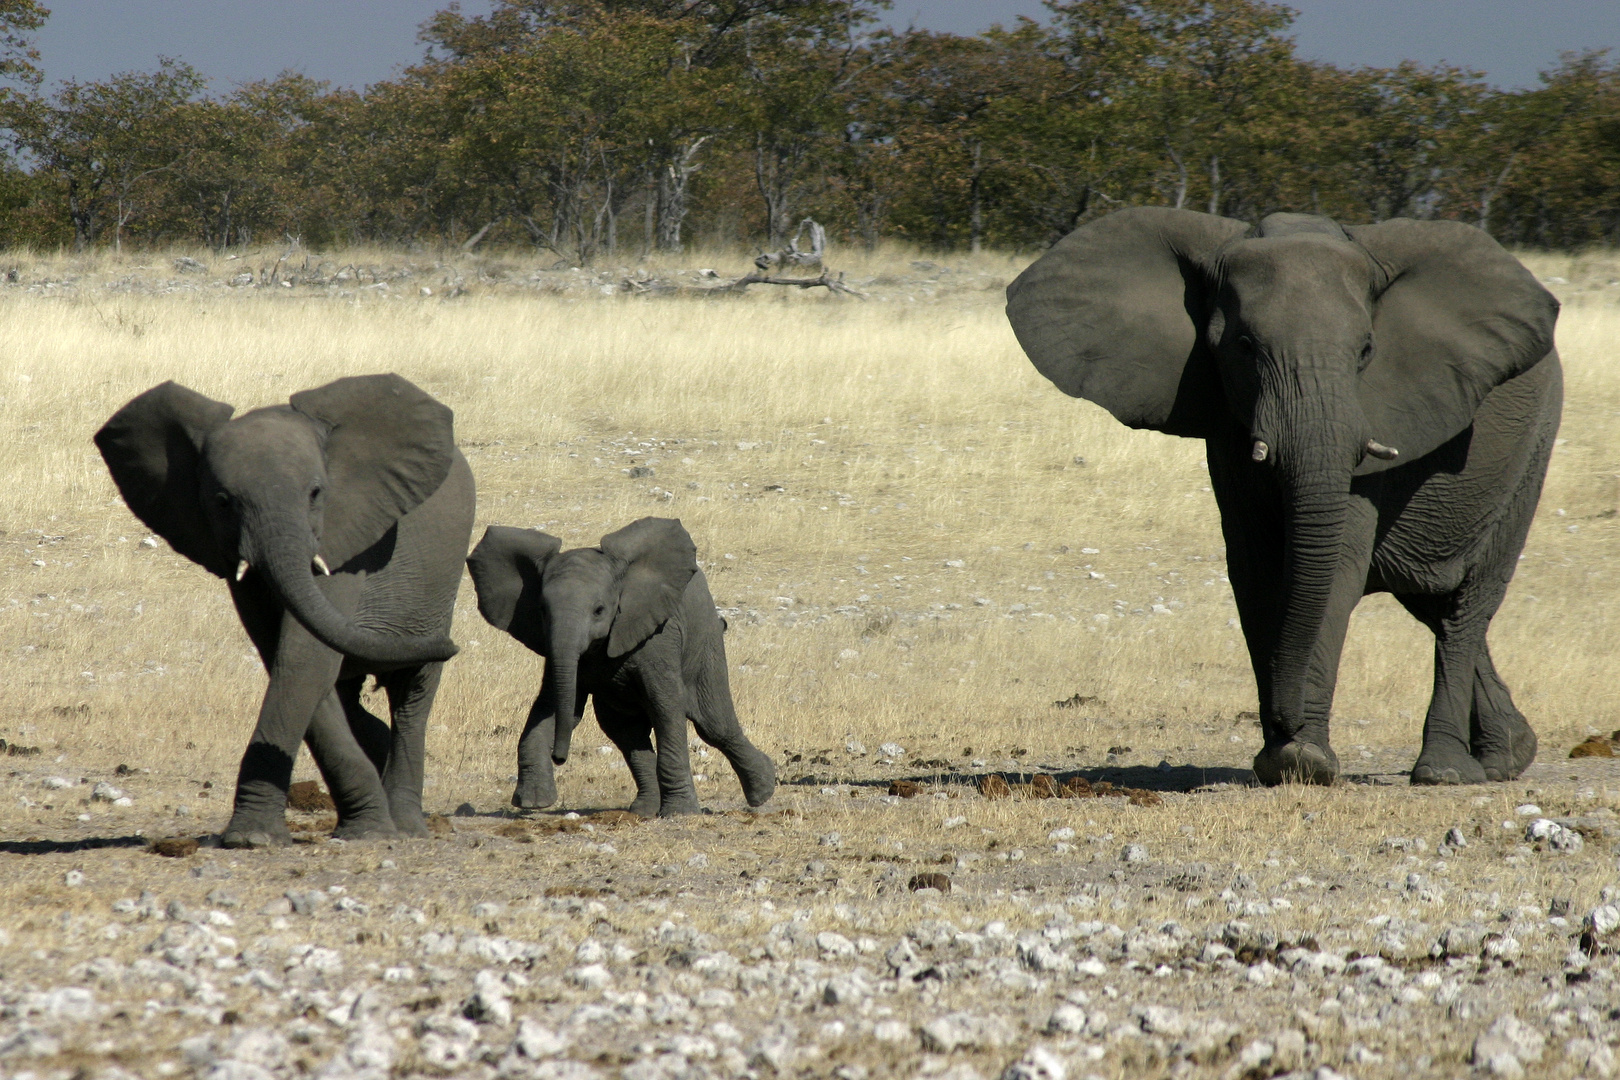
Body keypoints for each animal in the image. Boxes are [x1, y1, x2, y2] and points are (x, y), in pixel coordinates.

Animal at [96, 374, 473, 841]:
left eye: (316, 493)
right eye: (222, 501)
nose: (453, 645)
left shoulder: (346, 536)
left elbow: (305, 656)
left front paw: (364, 835)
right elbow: (286, 658)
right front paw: (256, 838)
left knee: (412, 694)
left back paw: (406, 826)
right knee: (347, 689)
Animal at [466, 518, 774, 816]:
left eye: (599, 610)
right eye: (541, 610)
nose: (560, 758)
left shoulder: (658, 639)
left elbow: (667, 707)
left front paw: (681, 813)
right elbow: (550, 706)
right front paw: (533, 803)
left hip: (706, 641)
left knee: (713, 723)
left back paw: (764, 791)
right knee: (626, 731)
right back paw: (645, 810)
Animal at [1004, 208, 1561, 786]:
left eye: (1366, 351)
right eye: (1244, 347)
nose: (1283, 718)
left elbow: (1333, 567)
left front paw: (1303, 761)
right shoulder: (1229, 428)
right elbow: (1256, 567)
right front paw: (1282, 759)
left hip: (1532, 448)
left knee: (1465, 605)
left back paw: (1446, 772)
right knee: (1428, 599)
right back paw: (1508, 755)